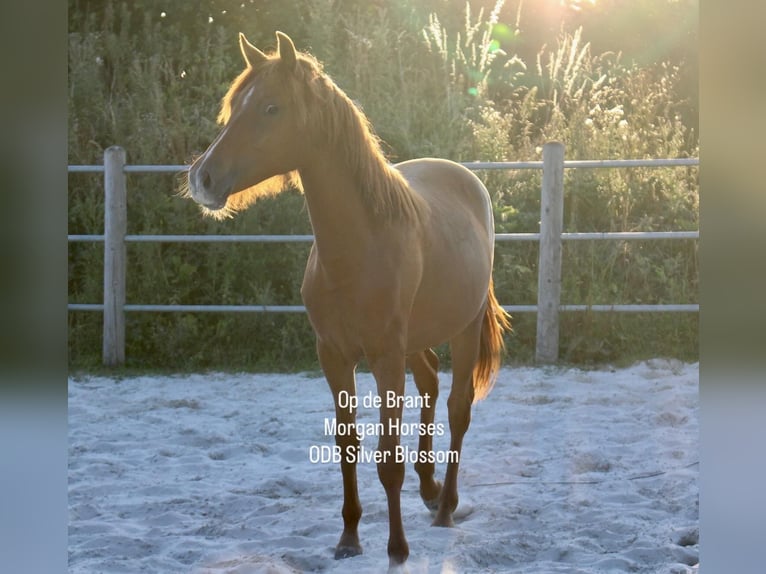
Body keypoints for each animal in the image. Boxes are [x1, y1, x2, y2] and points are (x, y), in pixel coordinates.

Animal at [183, 31, 512, 569]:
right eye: (233, 108)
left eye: (271, 107)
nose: (202, 179)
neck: (359, 245)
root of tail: (468, 181)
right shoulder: (334, 356)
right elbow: (348, 445)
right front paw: (349, 537)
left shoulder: (383, 358)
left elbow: (388, 459)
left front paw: (397, 549)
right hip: (414, 341)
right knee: (429, 384)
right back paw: (429, 489)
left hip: (461, 332)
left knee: (458, 409)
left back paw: (445, 506)